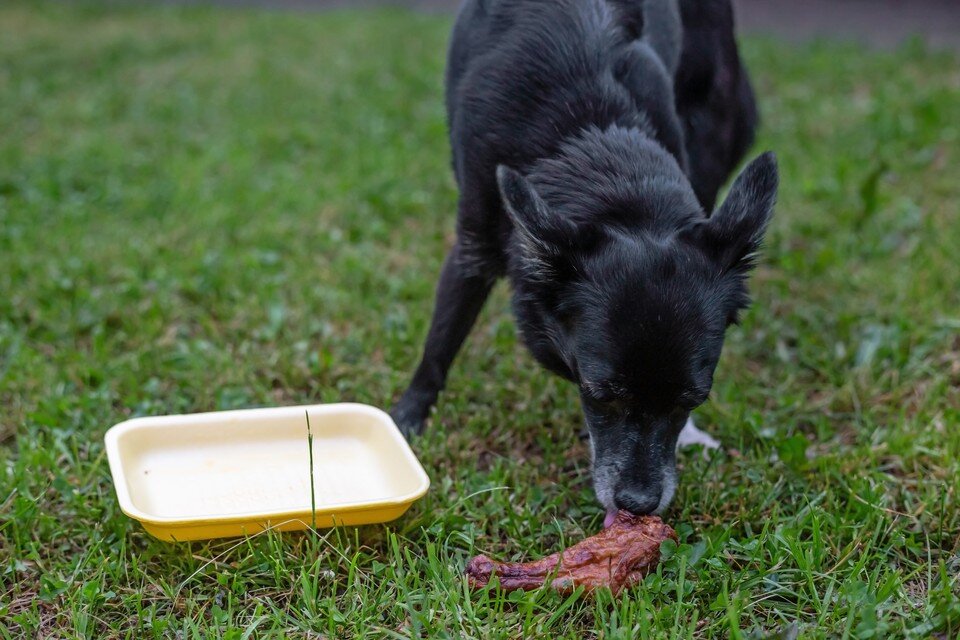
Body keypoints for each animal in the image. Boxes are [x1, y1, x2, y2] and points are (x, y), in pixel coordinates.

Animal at [394, 0, 776, 516]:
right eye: (600, 394)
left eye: (691, 400)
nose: (639, 503)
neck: (595, 138)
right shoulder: (473, 246)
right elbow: (439, 343)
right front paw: (407, 422)